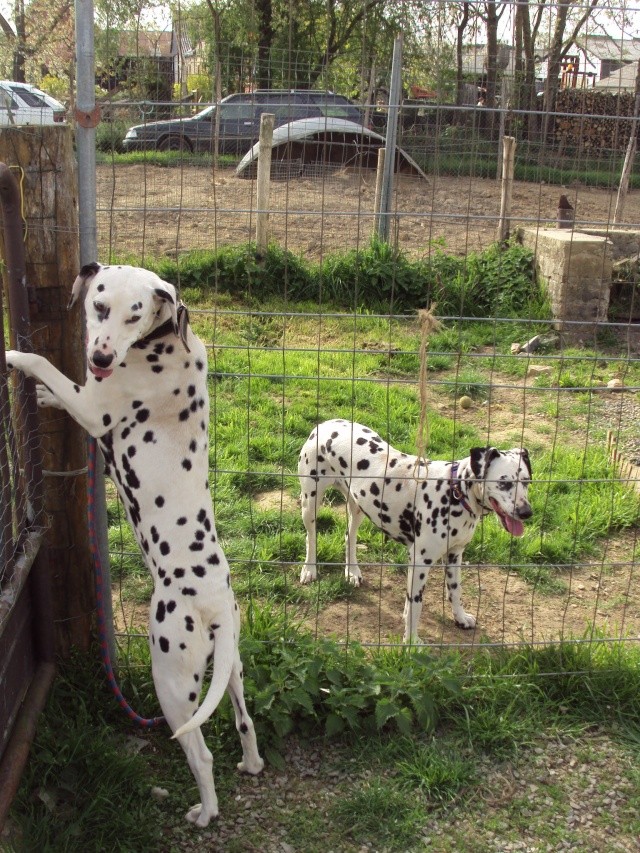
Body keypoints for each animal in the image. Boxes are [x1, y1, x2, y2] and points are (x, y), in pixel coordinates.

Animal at [5, 264, 262, 824]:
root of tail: (215, 605)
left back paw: (205, 811)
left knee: (201, 753)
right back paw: (252, 763)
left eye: (135, 314)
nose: (102, 357)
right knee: (244, 718)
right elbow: (60, 383)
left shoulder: (94, 409)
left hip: (171, 680)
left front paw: (13, 356)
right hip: (230, 668)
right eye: (100, 306)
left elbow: (45, 364)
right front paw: (44, 396)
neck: (163, 343)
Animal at [300, 416, 536, 644]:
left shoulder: (455, 555)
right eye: (503, 482)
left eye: (526, 481)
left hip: (358, 506)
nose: (526, 512)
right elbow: (415, 605)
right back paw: (309, 569)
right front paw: (412, 641)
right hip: (310, 503)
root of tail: (326, 424)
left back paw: (352, 572)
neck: (455, 492)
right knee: (311, 538)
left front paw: (460, 618)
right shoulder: (420, 562)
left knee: (349, 536)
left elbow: (455, 590)